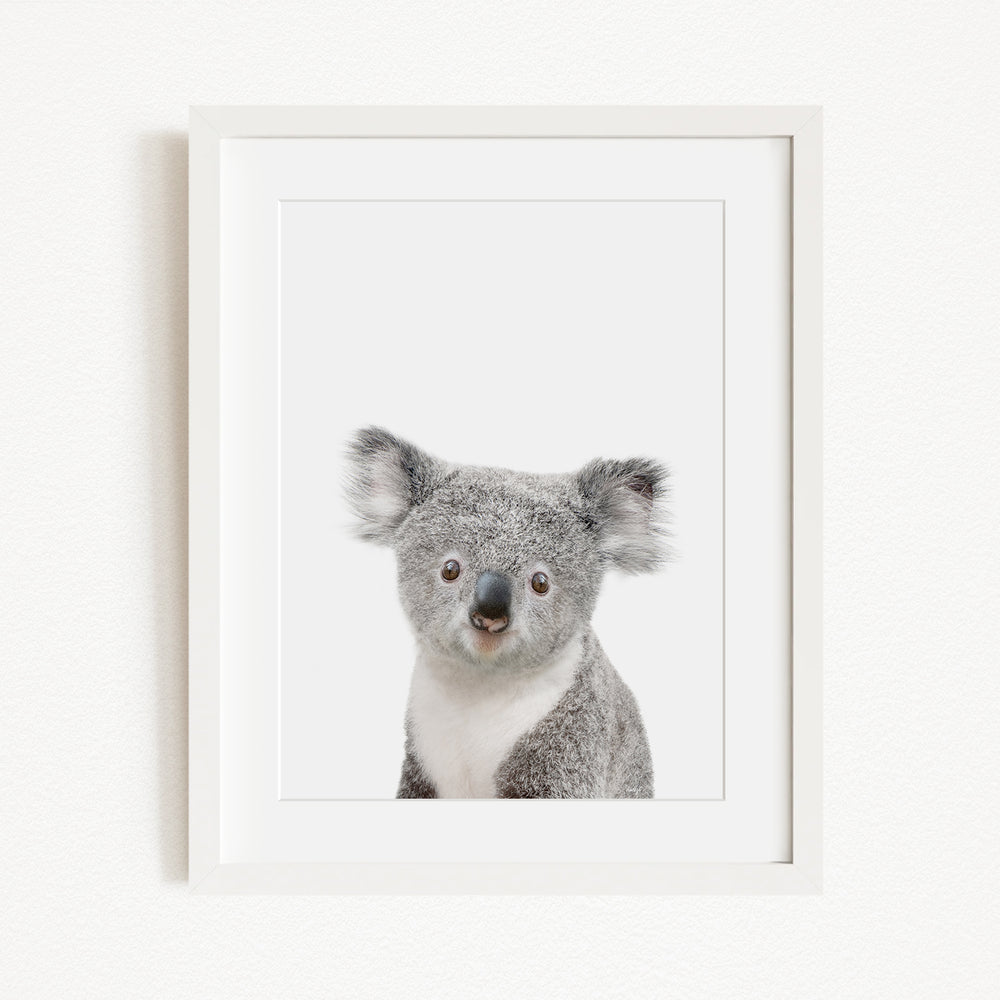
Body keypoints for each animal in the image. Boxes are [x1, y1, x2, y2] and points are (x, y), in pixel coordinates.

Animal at [345, 426, 670, 799]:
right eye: (450, 570)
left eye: (540, 582)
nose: (489, 613)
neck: (480, 684)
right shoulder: (421, 758)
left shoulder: (569, 747)